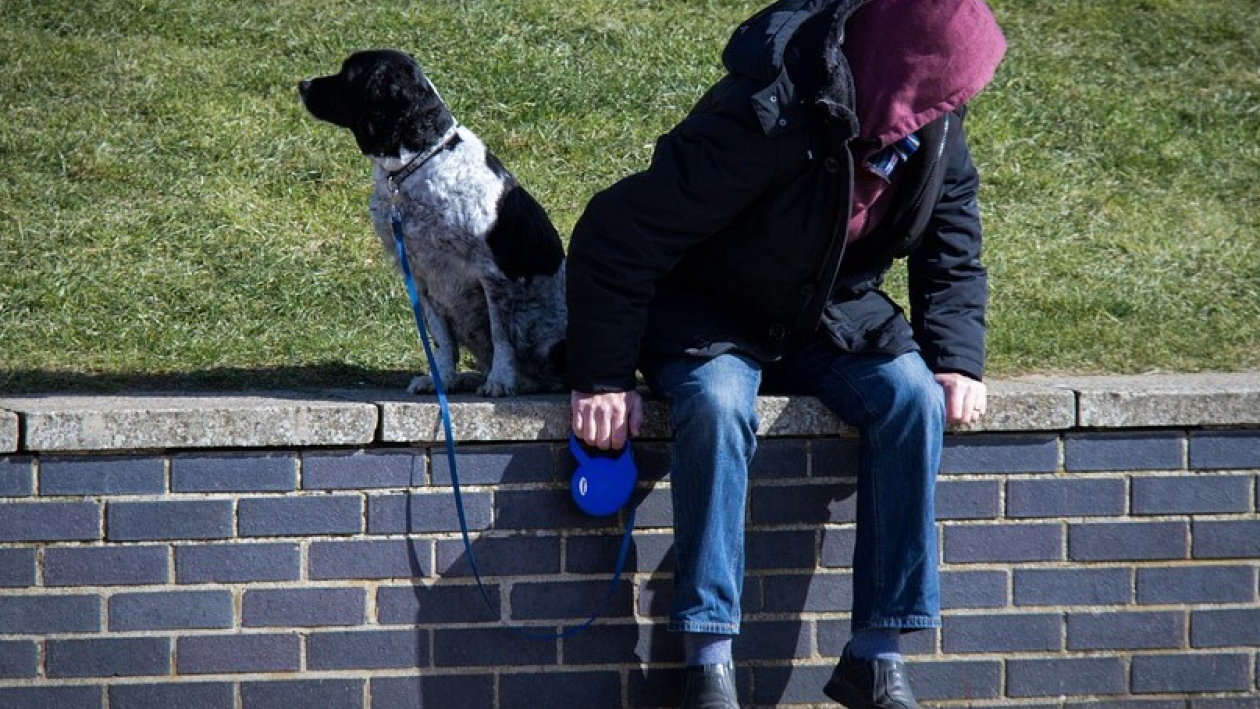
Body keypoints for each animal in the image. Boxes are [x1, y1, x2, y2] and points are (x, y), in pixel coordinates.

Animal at [297, 50, 564, 397]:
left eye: (349, 74)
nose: (302, 84)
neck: (420, 162)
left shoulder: (494, 277)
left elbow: (502, 337)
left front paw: (499, 382)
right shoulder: (421, 275)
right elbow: (441, 341)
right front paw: (443, 380)